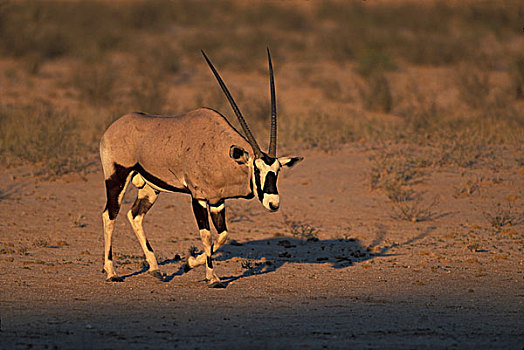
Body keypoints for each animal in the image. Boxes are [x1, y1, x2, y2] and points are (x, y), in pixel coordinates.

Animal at [100, 48, 302, 288]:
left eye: (277, 171)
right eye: (256, 169)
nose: (273, 203)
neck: (219, 151)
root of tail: (112, 128)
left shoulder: (217, 201)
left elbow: (222, 235)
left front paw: (188, 263)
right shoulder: (198, 198)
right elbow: (206, 235)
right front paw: (212, 277)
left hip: (150, 188)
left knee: (135, 215)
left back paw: (155, 269)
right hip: (117, 178)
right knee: (109, 215)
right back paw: (111, 272)